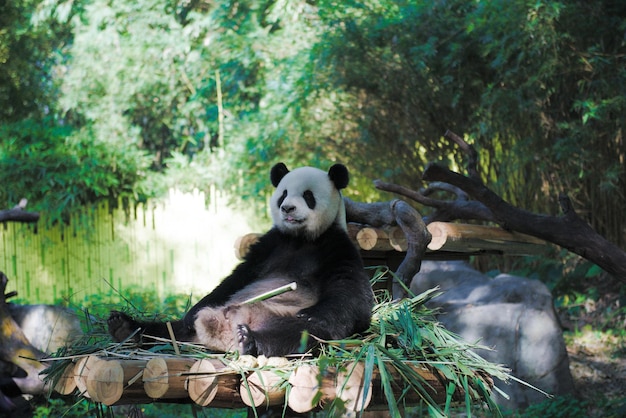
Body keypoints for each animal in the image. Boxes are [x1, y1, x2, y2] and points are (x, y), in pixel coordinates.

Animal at [107, 162, 372, 356]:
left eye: (308, 195)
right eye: (283, 194)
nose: (287, 208)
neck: (301, 239)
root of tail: (223, 328)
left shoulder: (336, 246)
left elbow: (350, 296)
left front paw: (311, 313)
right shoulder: (270, 245)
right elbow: (237, 277)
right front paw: (194, 309)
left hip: (280, 320)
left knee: (301, 335)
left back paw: (249, 340)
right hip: (187, 328)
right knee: (169, 329)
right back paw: (125, 327)